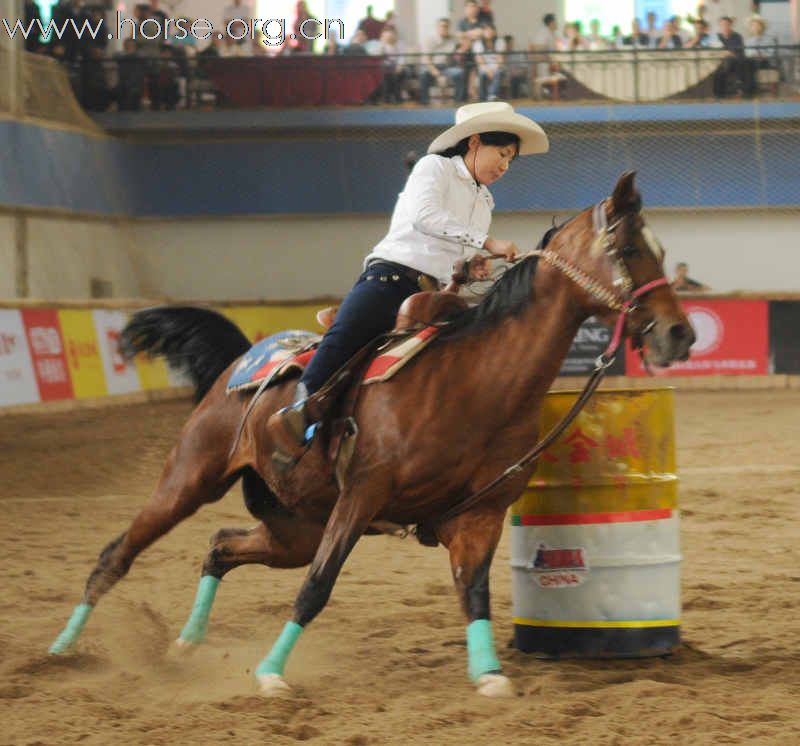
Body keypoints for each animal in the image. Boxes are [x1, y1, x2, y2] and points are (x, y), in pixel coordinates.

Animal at [48, 173, 692, 696]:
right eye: (629, 248)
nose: (679, 335)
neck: (474, 379)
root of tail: (242, 358)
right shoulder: (361, 495)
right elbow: (318, 586)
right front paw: (270, 673)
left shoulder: (479, 514)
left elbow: (474, 593)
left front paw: (488, 675)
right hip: (191, 477)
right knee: (118, 553)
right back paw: (62, 648)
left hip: (294, 526)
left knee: (221, 546)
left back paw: (186, 641)